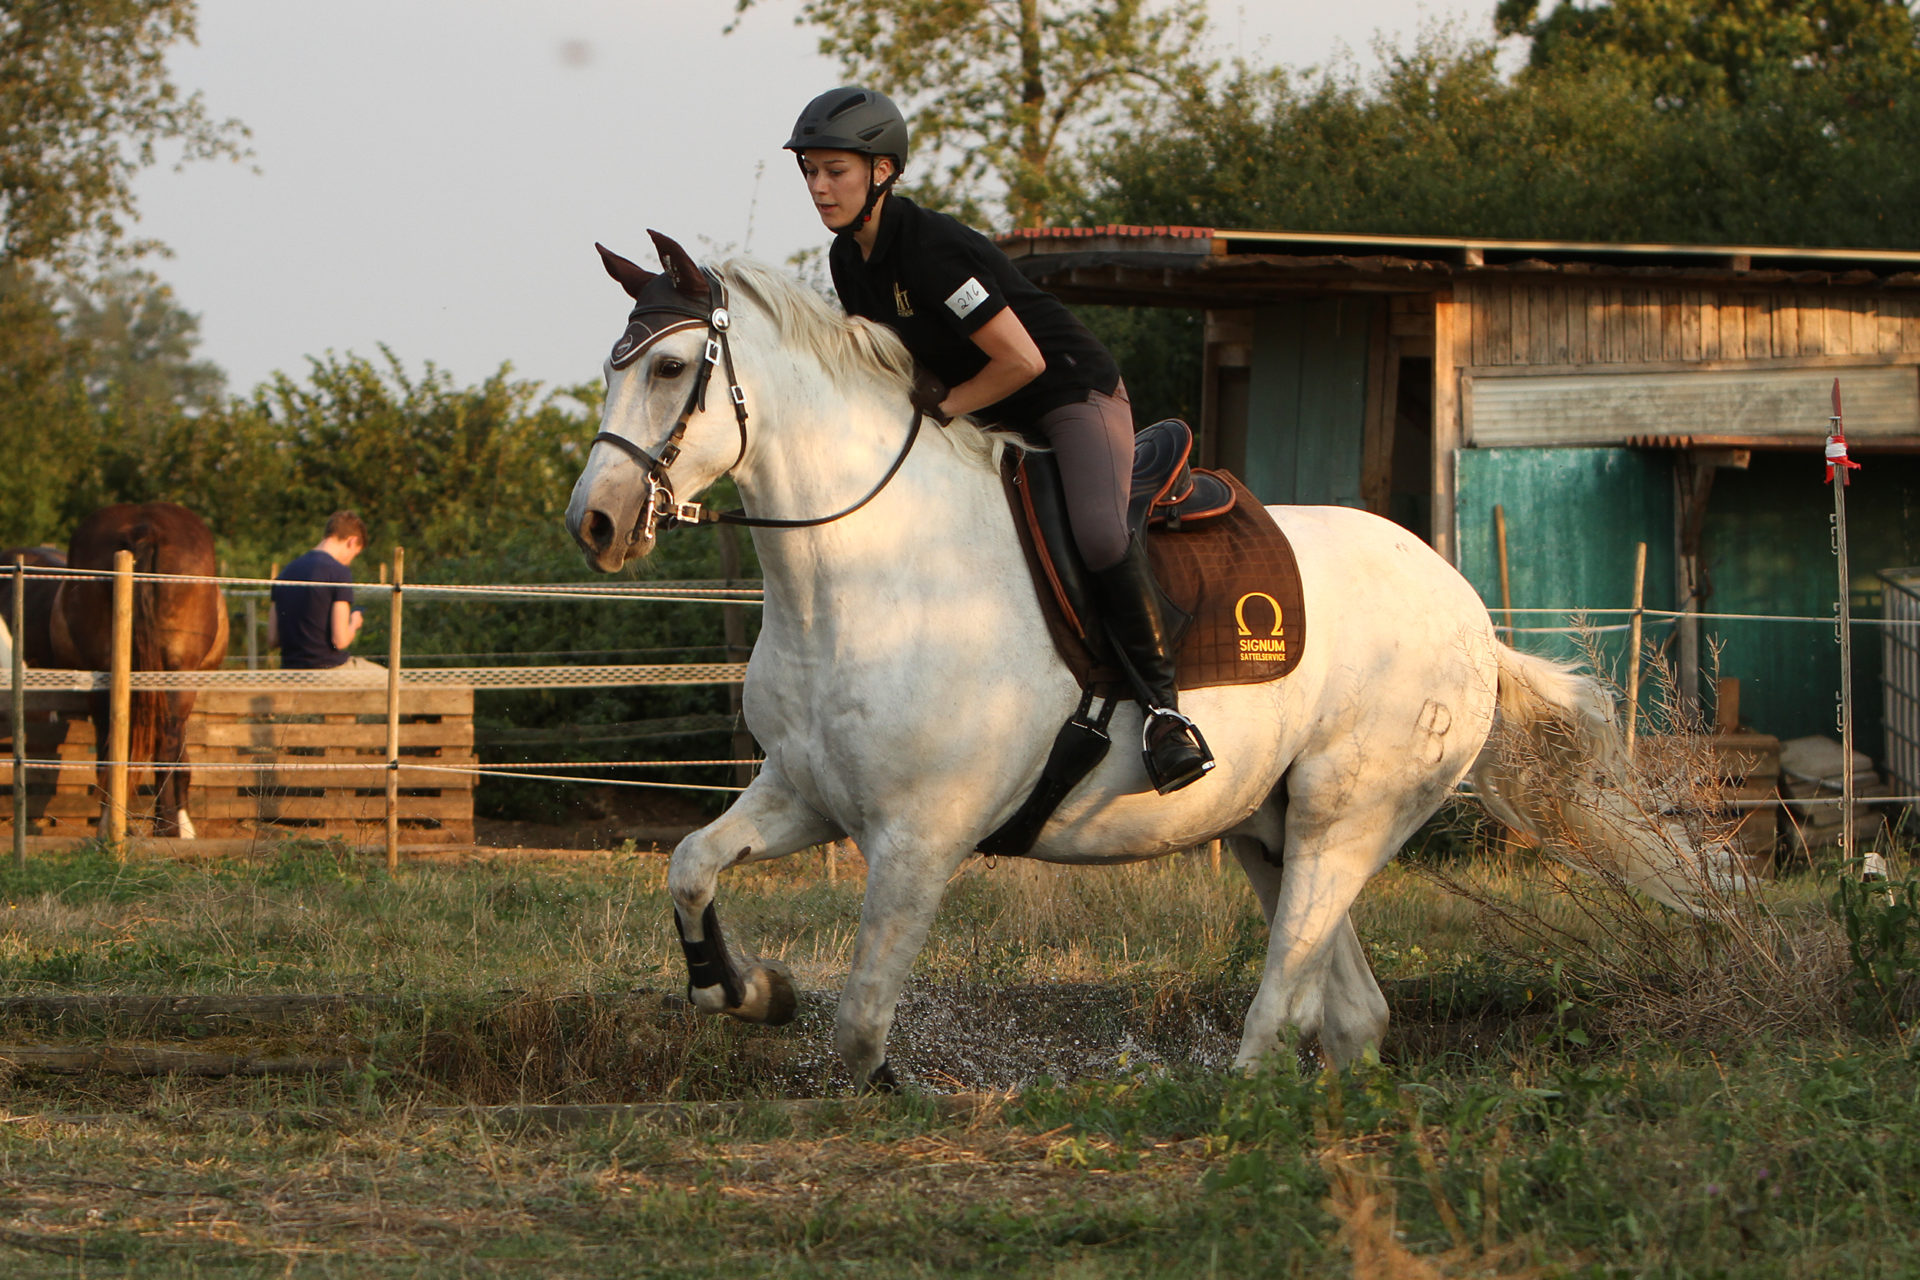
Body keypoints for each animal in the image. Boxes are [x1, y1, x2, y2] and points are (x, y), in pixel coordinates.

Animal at [50, 504, 228, 839]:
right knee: (167, 743)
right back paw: (167, 827)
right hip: (177, 677)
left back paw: (111, 825)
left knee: (109, 744)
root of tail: (144, 527)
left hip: (103, 674)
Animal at [565, 234, 1742, 1089]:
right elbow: (691, 865)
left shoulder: (921, 838)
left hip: (1345, 815)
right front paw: (751, 990)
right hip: (1274, 826)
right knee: (1352, 1009)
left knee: (1288, 993)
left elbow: (858, 1030)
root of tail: (1468, 614)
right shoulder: (805, 793)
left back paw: (1228, 1093)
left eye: (670, 367)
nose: (597, 523)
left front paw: (836, 1049)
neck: (868, 568)